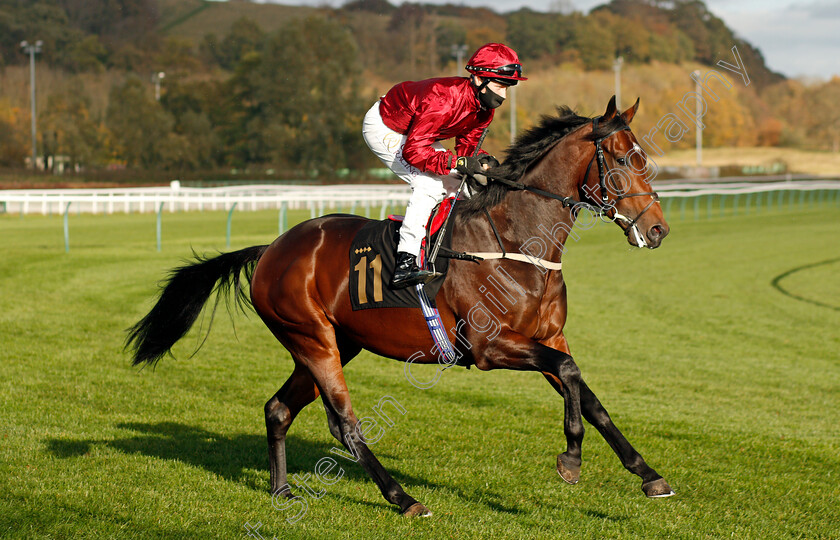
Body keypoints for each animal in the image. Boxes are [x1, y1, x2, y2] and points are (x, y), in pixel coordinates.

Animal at [126, 95, 676, 516]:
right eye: (622, 160)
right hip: (313, 339)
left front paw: (648, 475)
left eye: (642, 158)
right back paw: (403, 498)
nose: (657, 230)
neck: (515, 240)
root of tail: (272, 249)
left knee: (279, 408)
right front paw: (571, 459)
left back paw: (281, 490)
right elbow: (569, 373)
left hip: (332, 342)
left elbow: (587, 392)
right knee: (344, 423)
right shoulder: (491, 347)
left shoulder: (545, 336)